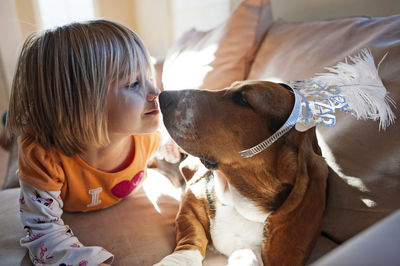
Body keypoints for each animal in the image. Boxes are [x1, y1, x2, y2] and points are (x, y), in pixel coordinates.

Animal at [155, 81, 328, 266]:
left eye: (242, 99)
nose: (162, 96)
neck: (238, 201)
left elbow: (251, 255)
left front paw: (242, 258)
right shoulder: (191, 202)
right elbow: (191, 238)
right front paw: (177, 260)